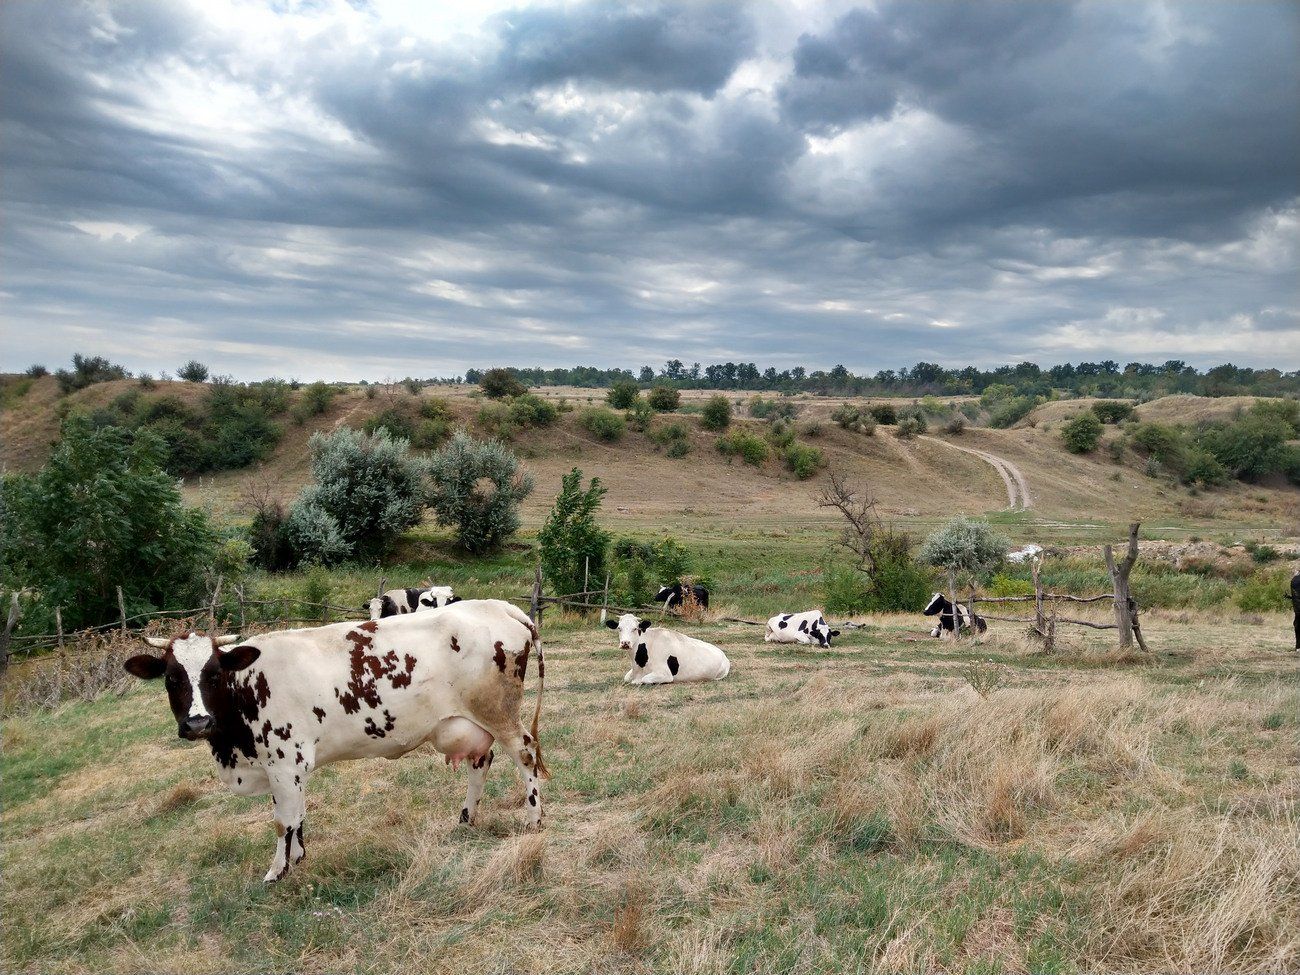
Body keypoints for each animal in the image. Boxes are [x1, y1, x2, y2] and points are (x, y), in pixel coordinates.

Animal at [122, 595, 543, 883]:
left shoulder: (284, 760)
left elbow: (283, 820)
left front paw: (277, 870)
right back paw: (467, 818)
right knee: (481, 762)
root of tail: (500, 606)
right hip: (472, 723)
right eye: (171, 678)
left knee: (525, 754)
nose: (197, 723)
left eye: (212, 675)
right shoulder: (284, 767)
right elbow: (296, 815)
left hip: (500, 714)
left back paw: (534, 820)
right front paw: (298, 856)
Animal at [600, 618, 728, 686]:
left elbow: (645, 679)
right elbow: (626, 678)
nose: (625, 643)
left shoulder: (665, 674)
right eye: (619, 628)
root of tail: (723, 655)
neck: (638, 664)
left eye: (635, 628)